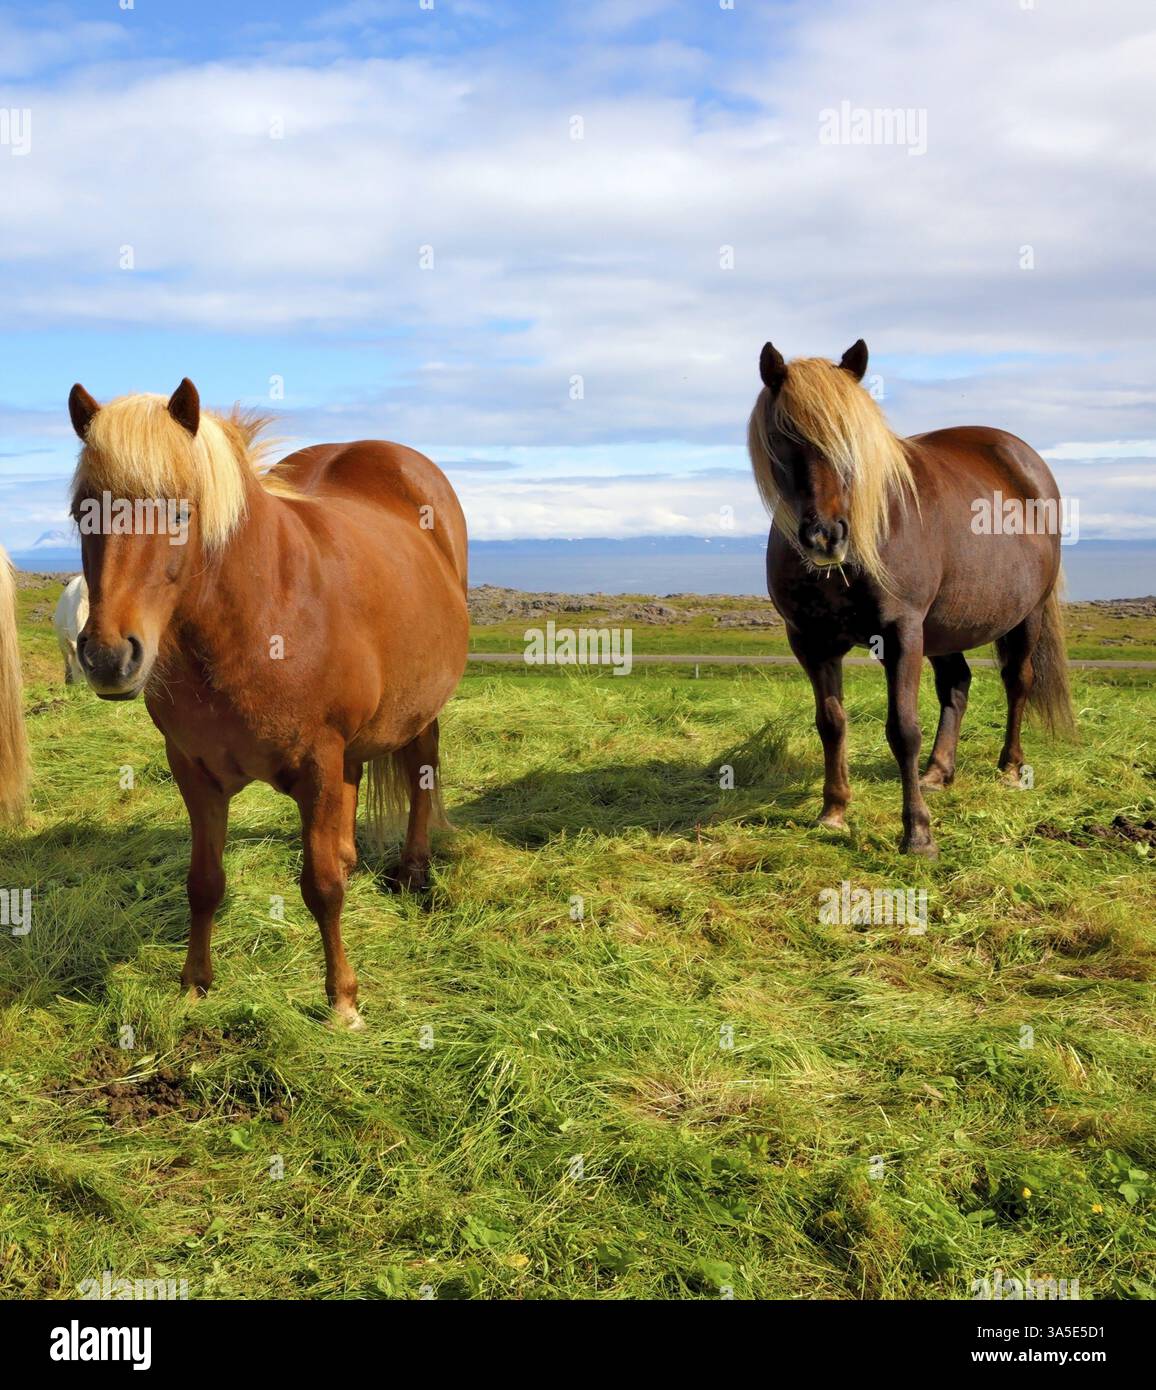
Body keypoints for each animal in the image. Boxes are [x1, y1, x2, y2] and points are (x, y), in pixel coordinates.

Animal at [68, 378, 470, 1026]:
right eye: (83, 512)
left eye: (181, 512)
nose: (107, 656)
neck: (257, 616)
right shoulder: (194, 771)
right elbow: (204, 881)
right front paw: (195, 984)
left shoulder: (318, 764)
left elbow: (322, 885)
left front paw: (343, 1001)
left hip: (419, 712)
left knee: (421, 772)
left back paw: (414, 871)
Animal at [747, 339, 1074, 857]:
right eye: (784, 435)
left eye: (853, 440)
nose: (826, 537)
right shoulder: (811, 642)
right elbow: (831, 723)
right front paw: (834, 811)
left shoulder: (901, 634)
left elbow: (902, 730)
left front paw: (918, 833)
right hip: (943, 629)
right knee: (956, 685)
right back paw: (938, 772)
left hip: (1027, 615)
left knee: (1018, 681)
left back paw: (1009, 766)